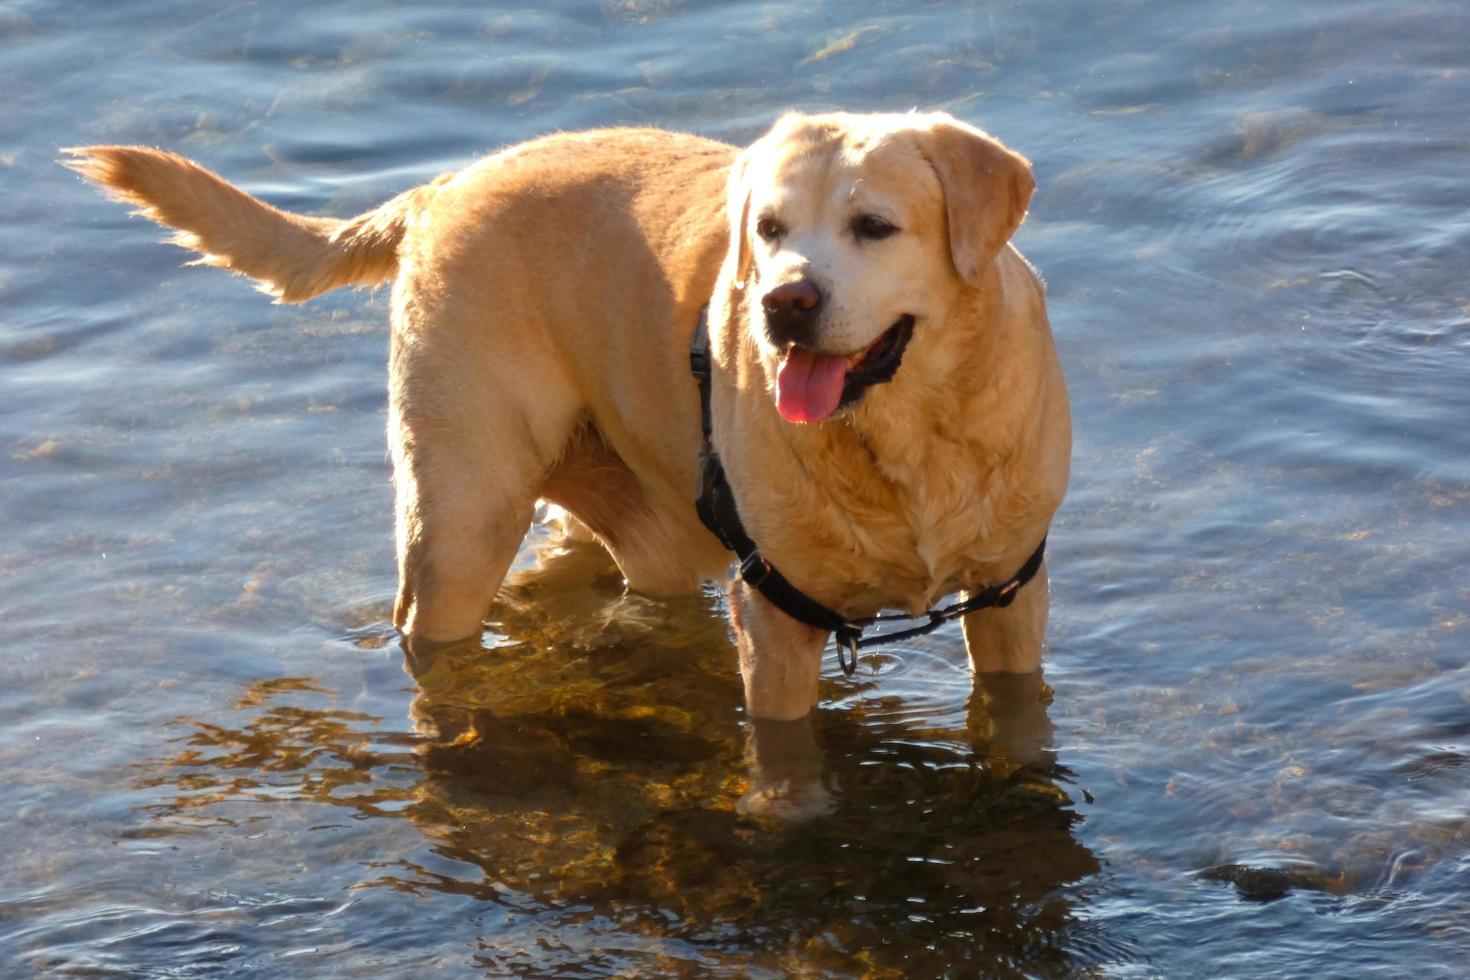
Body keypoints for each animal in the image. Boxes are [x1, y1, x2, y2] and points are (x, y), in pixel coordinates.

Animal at [66, 113, 1070, 822]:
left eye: (874, 226)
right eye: (770, 228)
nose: (783, 302)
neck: (903, 437)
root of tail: (441, 187)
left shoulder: (1012, 591)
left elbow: (1019, 711)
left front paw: (1023, 786)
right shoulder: (772, 612)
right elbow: (786, 756)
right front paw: (794, 822)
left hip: (647, 518)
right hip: (465, 510)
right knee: (434, 625)